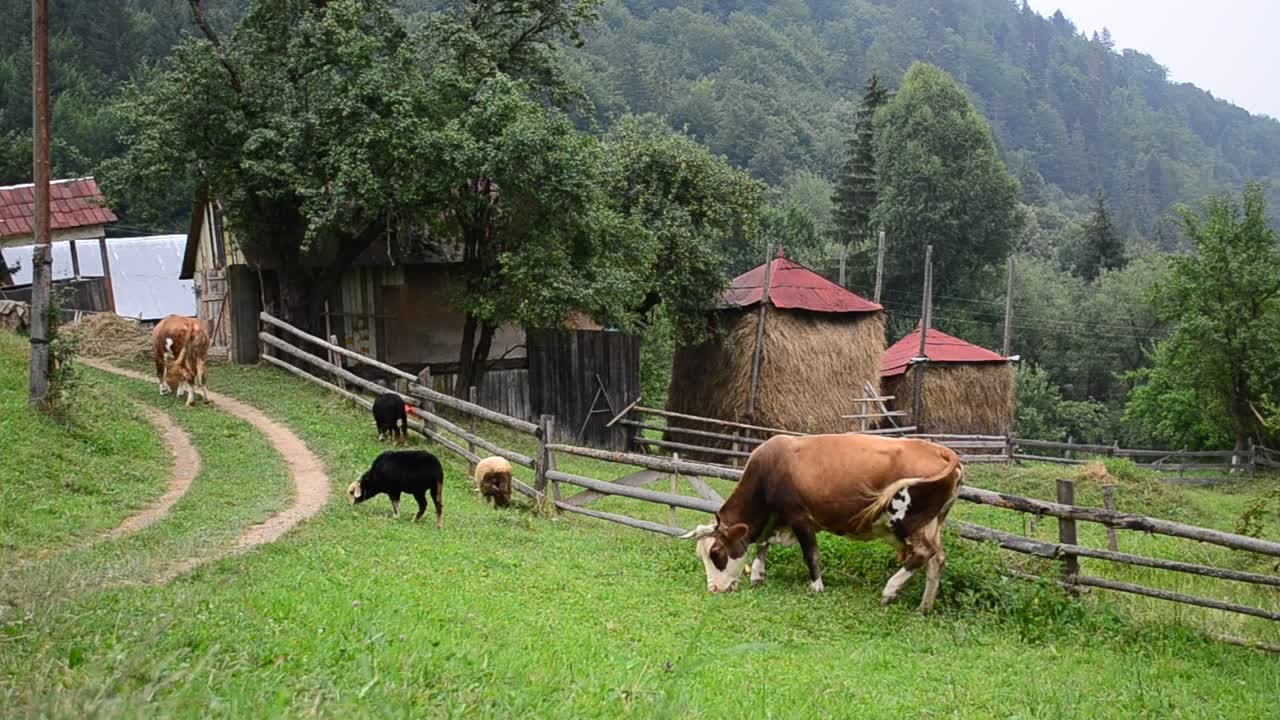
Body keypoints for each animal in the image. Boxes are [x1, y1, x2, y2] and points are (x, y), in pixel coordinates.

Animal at [680, 434, 963, 613]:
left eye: (716, 553)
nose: (714, 588)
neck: (769, 470)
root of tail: (942, 451)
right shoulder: (780, 519)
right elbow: (765, 542)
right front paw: (758, 574)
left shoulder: (801, 518)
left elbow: (811, 555)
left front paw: (817, 587)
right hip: (933, 523)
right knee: (937, 559)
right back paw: (924, 607)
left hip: (905, 520)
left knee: (923, 553)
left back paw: (890, 590)